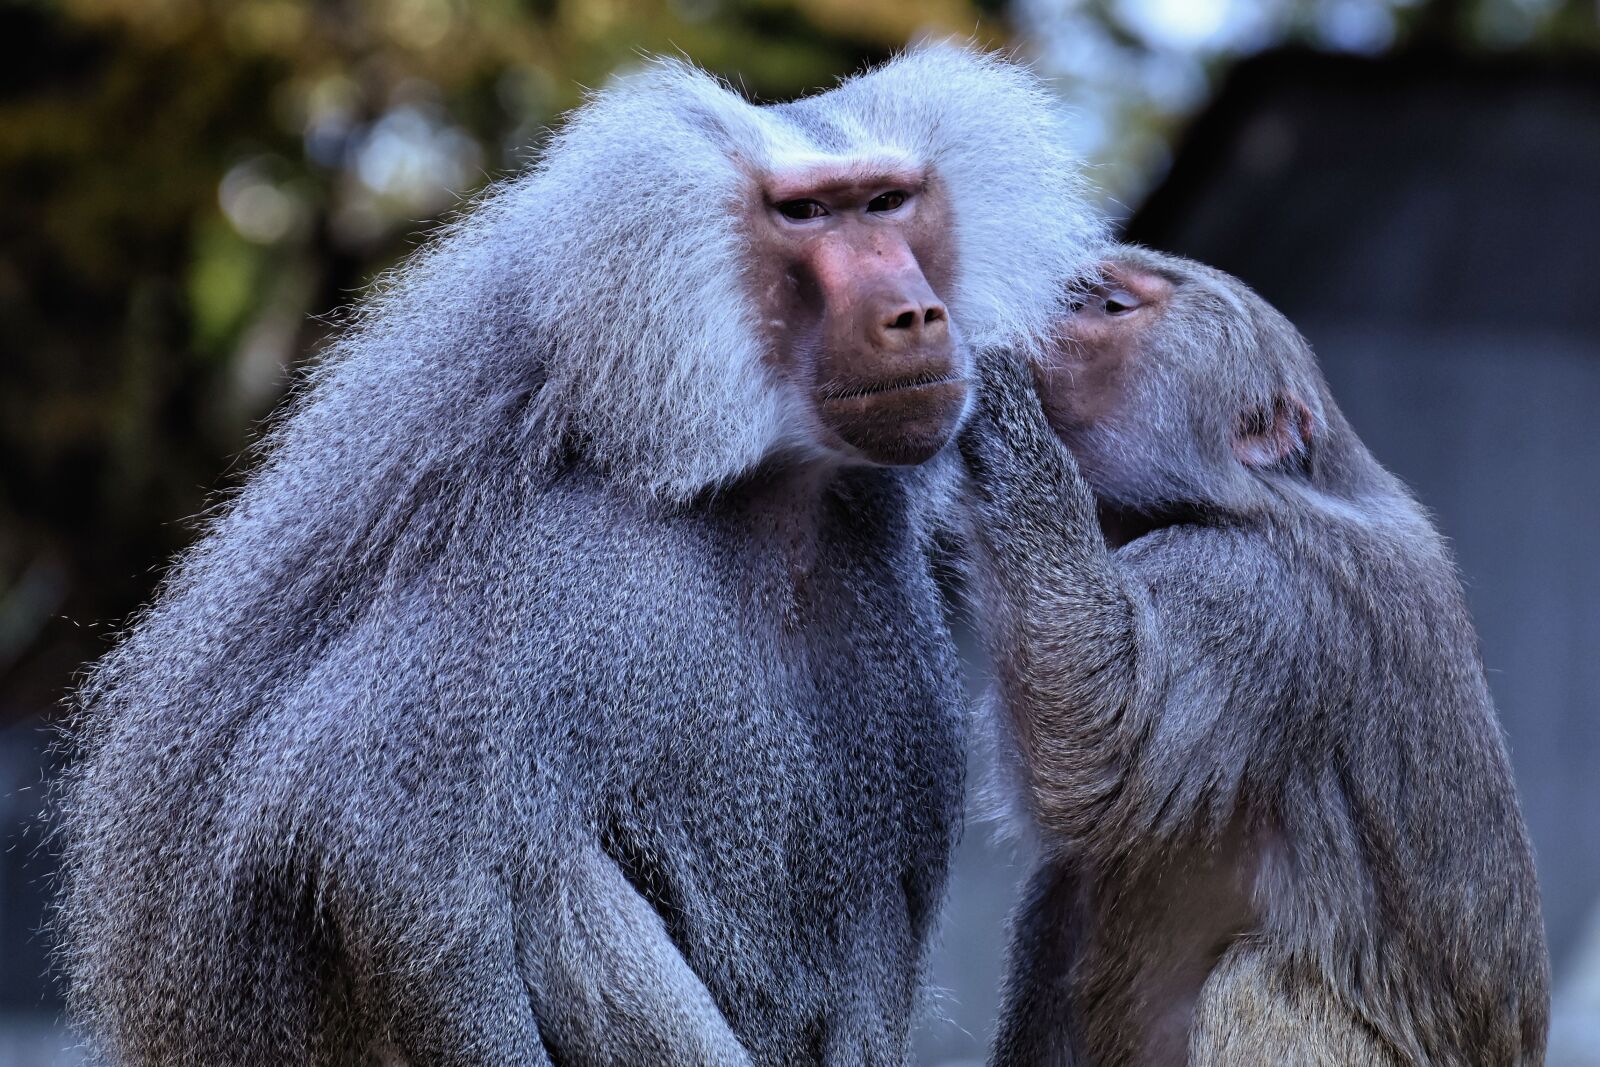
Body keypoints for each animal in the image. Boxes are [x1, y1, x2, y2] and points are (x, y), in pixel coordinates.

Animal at [49, 46, 1104, 1067]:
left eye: (888, 201)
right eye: (804, 213)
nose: (915, 316)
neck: (767, 494)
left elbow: (877, 921)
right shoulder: (567, 573)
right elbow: (382, 846)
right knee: (544, 878)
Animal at [957, 246, 1550, 1067]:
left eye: (1109, 305)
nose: (1042, 300)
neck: (1265, 491)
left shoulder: (1257, 593)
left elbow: (1097, 740)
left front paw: (987, 377)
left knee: (1256, 983)